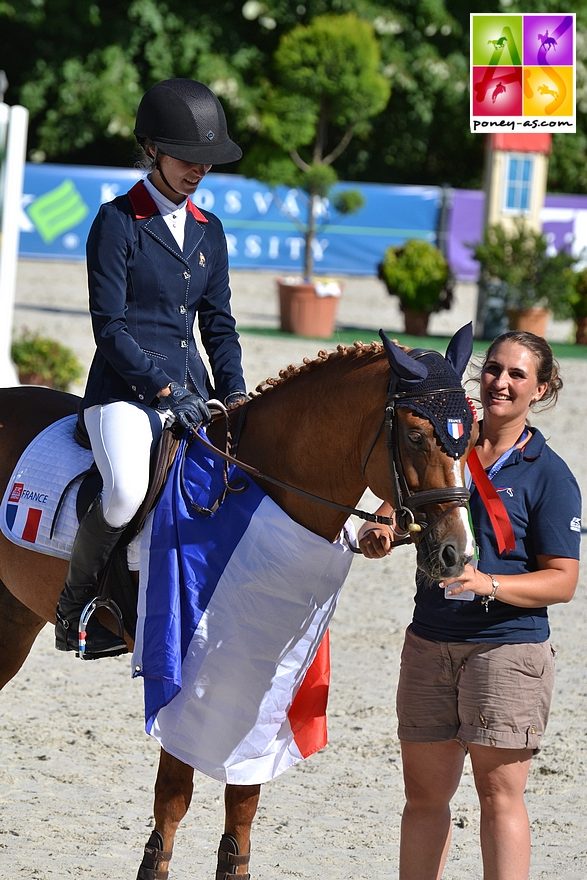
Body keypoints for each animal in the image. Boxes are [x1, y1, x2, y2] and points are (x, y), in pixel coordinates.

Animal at [0, 326, 478, 876]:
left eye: (472, 436)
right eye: (416, 436)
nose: (456, 553)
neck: (258, 487)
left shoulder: (262, 673)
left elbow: (245, 797)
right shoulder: (183, 660)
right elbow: (174, 793)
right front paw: (153, 865)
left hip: (14, 619)